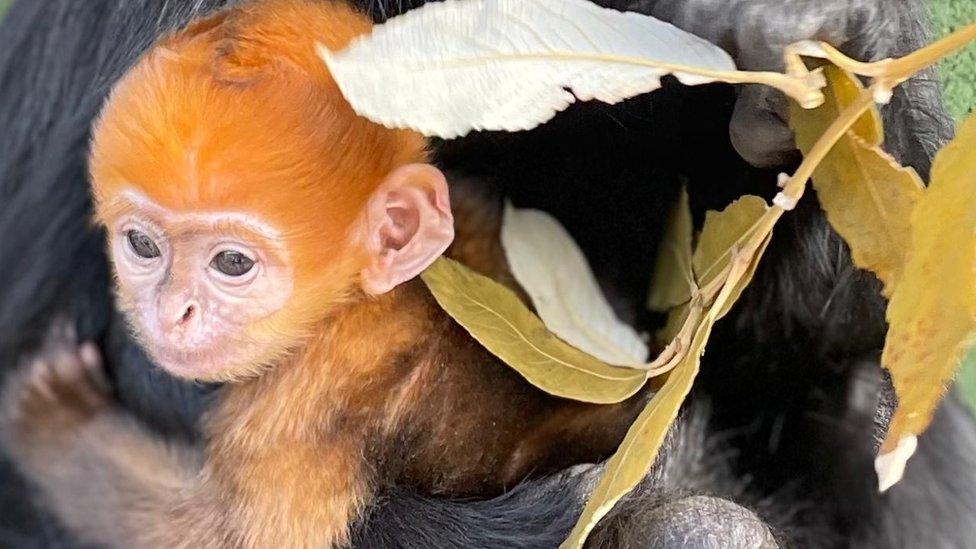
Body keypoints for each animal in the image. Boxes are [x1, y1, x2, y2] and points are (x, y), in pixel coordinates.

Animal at [1, 1, 648, 548]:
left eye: (232, 263)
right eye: (142, 245)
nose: (170, 311)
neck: (369, 299)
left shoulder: (307, 398)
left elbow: (233, 534)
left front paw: (56, 421)